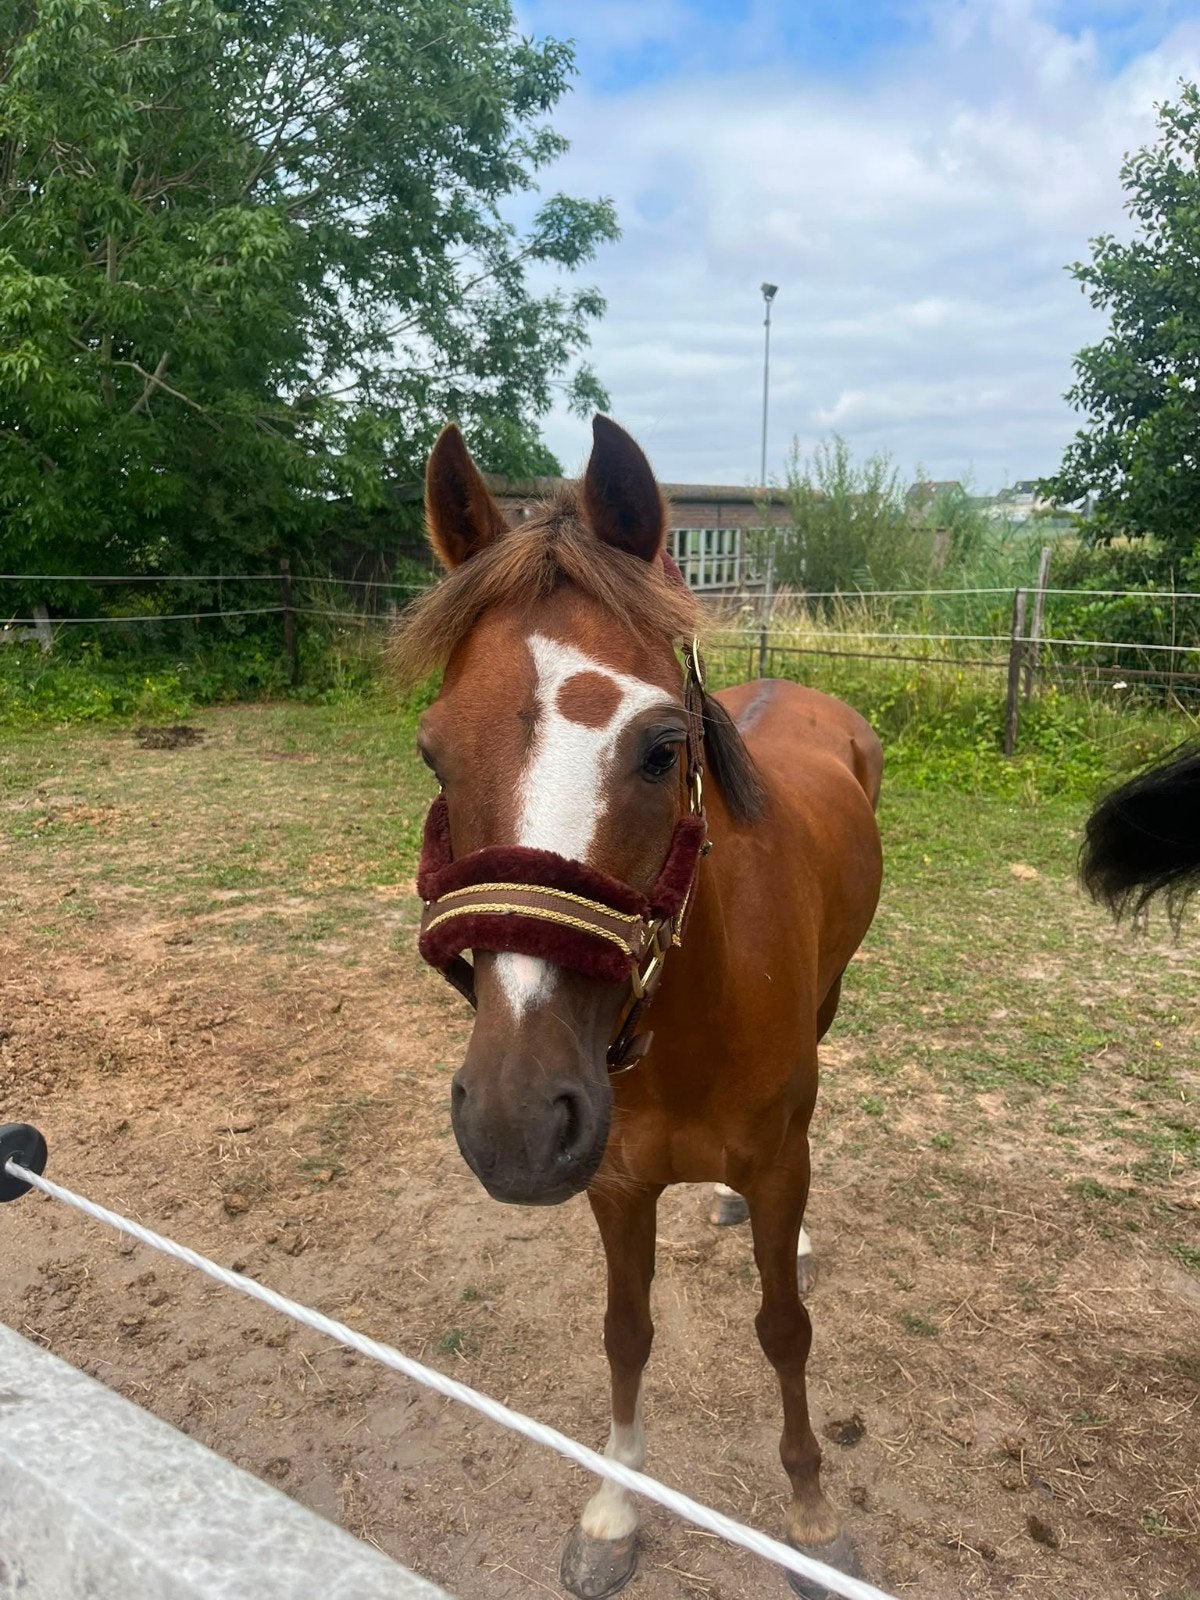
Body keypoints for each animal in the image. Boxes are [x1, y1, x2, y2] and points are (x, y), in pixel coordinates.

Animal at [393, 416, 883, 1599]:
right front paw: (616, 1508)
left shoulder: (776, 1165)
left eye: (663, 749)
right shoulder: (615, 1185)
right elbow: (626, 1332)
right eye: (434, 752)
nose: (516, 1123)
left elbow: (784, 1329)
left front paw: (811, 1518)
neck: (688, 1016)